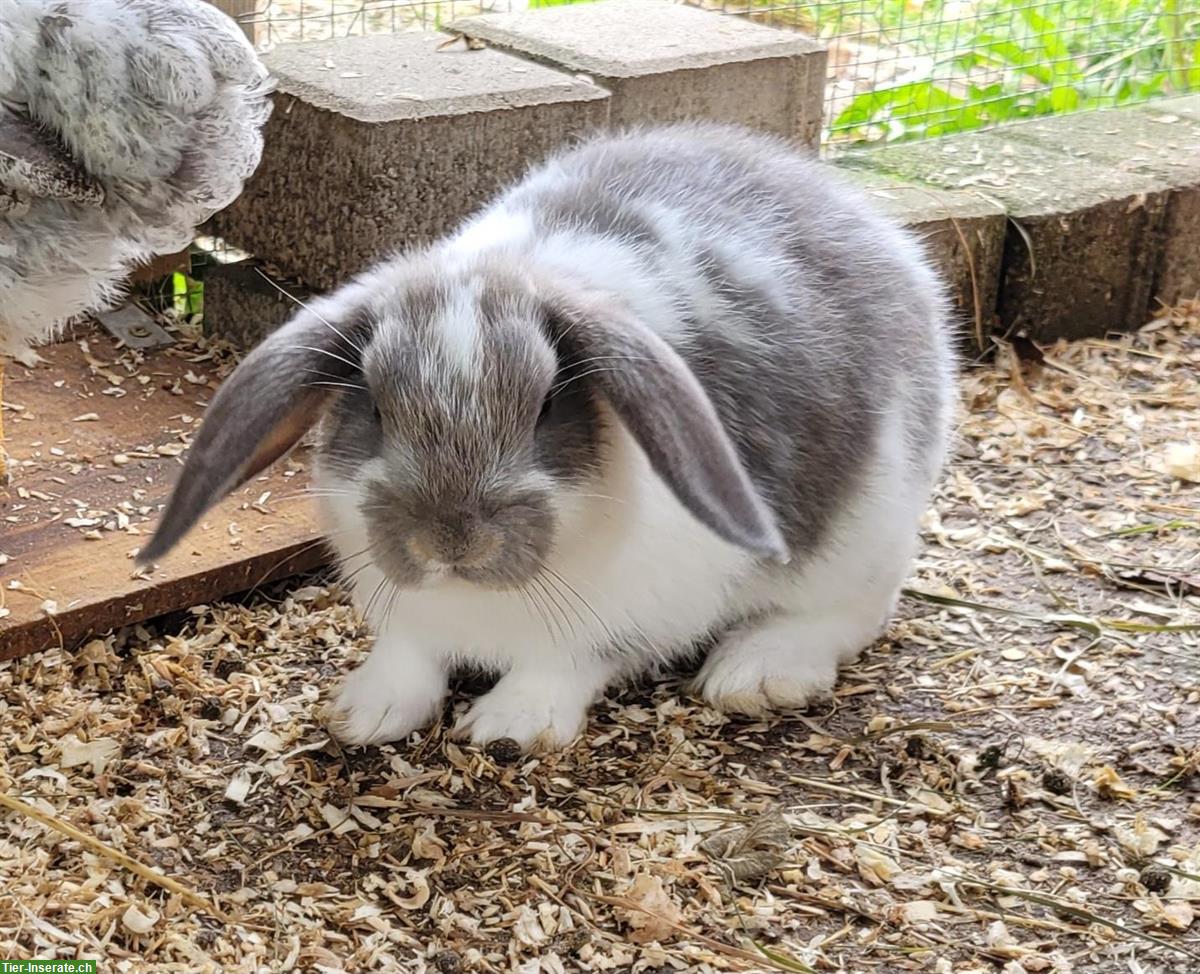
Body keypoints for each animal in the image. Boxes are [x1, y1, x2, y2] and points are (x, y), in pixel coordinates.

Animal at [136, 123, 955, 753]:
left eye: (547, 408)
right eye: (371, 405)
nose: (451, 540)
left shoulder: (630, 611)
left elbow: (565, 663)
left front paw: (508, 727)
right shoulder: (404, 613)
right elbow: (407, 658)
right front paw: (364, 712)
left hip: (864, 534)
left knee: (853, 612)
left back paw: (755, 674)